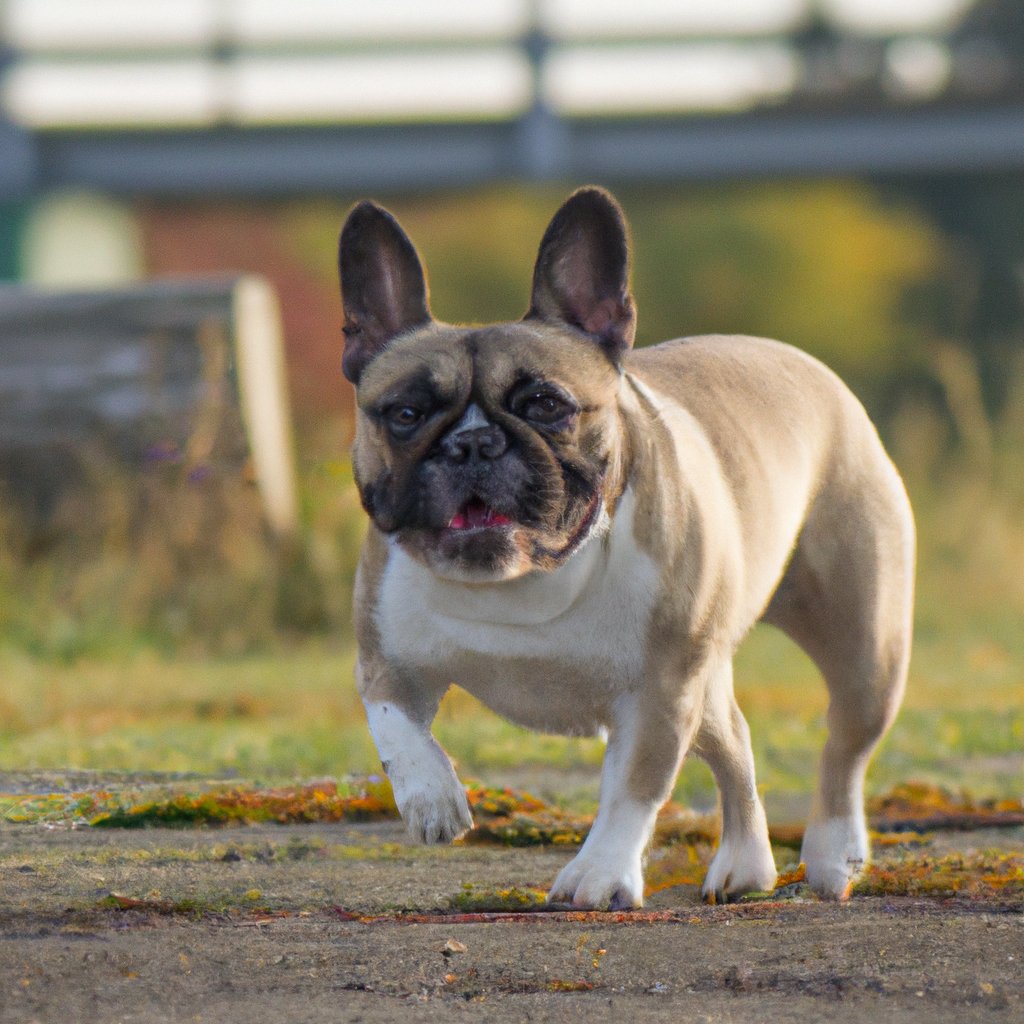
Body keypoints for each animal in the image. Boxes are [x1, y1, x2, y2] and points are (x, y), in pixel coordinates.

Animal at [339, 188, 917, 909]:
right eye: (406, 414)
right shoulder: (385, 658)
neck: (521, 582)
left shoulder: (658, 692)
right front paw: (432, 799)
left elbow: (634, 788)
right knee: (736, 744)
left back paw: (835, 854)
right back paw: (746, 865)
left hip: (862, 646)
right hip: (708, 679)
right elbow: (396, 727)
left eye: (546, 404)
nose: (471, 443)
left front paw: (601, 873)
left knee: (845, 747)